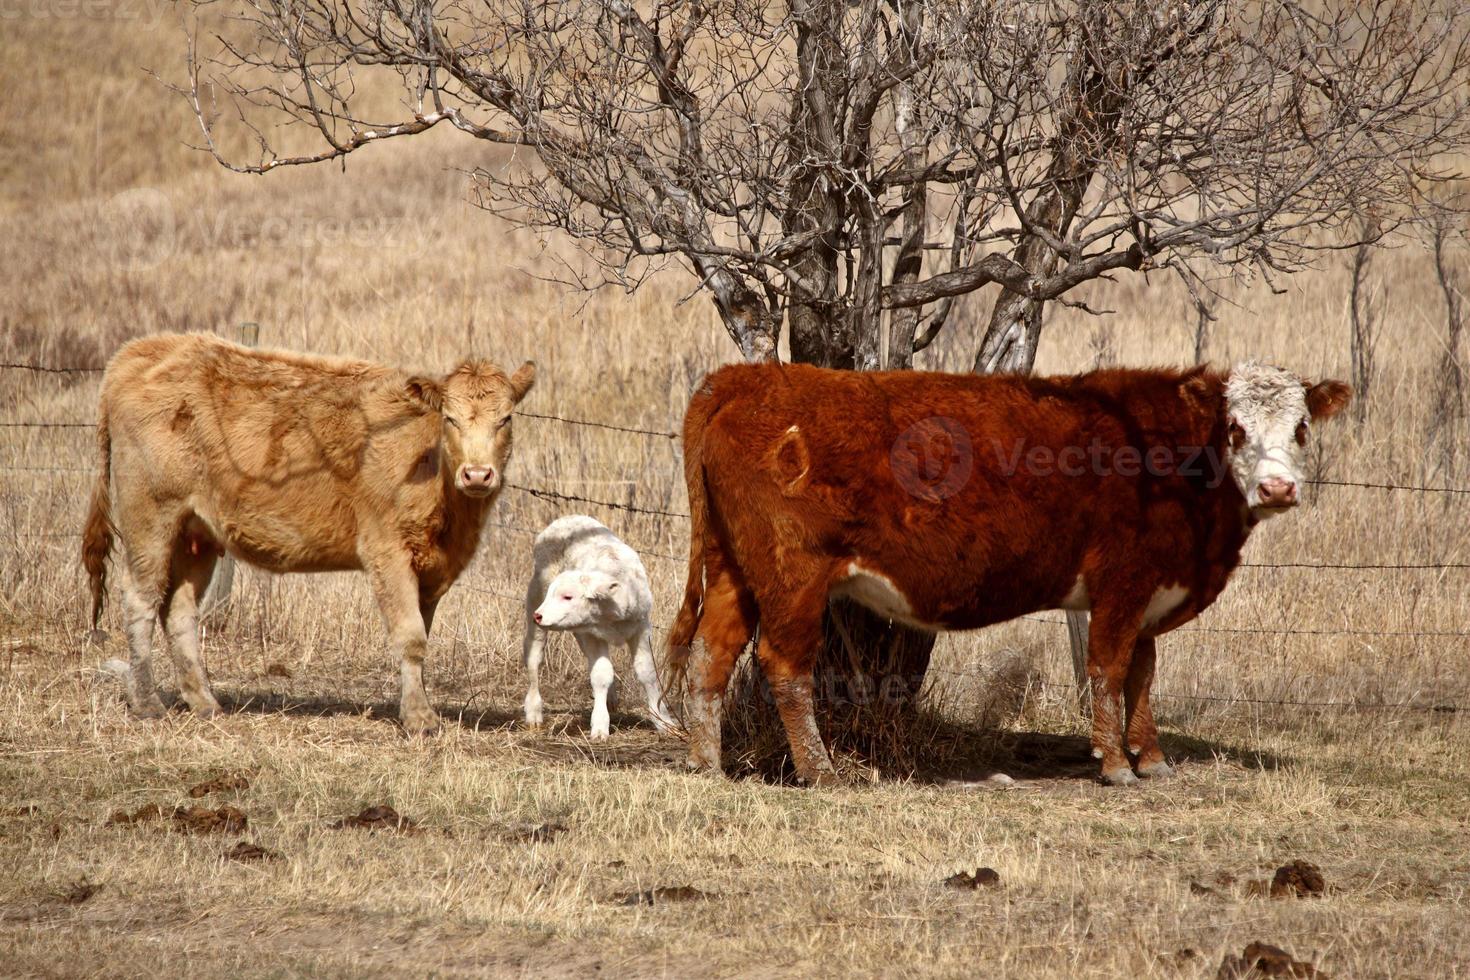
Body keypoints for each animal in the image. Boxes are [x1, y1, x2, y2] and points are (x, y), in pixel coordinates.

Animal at [77, 333, 532, 731]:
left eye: (506, 419)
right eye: (450, 419)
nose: (477, 474)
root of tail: (138, 352)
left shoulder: (433, 567)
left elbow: (422, 635)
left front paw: (417, 707)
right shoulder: (386, 551)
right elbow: (410, 636)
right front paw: (420, 719)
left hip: (197, 535)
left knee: (179, 611)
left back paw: (205, 702)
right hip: (151, 517)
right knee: (141, 598)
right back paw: (146, 703)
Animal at [523, 517, 676, 740]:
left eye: (568, 596)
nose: (539, 616)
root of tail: (566, 519)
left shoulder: (641, 628)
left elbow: (646, 672)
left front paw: (663, 721)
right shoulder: (591, 635)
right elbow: (601, 674)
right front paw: (600, 726)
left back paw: (611, 699)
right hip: (536, 597)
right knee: (534, 656)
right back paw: (534, 713)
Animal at [673, 364, 1346, 787]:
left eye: (1301, 428)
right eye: (1236, 428)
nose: (1278, 488)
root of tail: (747, 375)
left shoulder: (1150, 592)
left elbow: (1143, 675)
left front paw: (1152, 759)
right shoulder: (1122, 583)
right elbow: (1109, 669)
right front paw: (1115, 766)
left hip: (734, 567)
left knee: (711, 654)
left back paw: (708, 763)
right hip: (794, 575)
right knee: (785, 667)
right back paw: (821, 771)